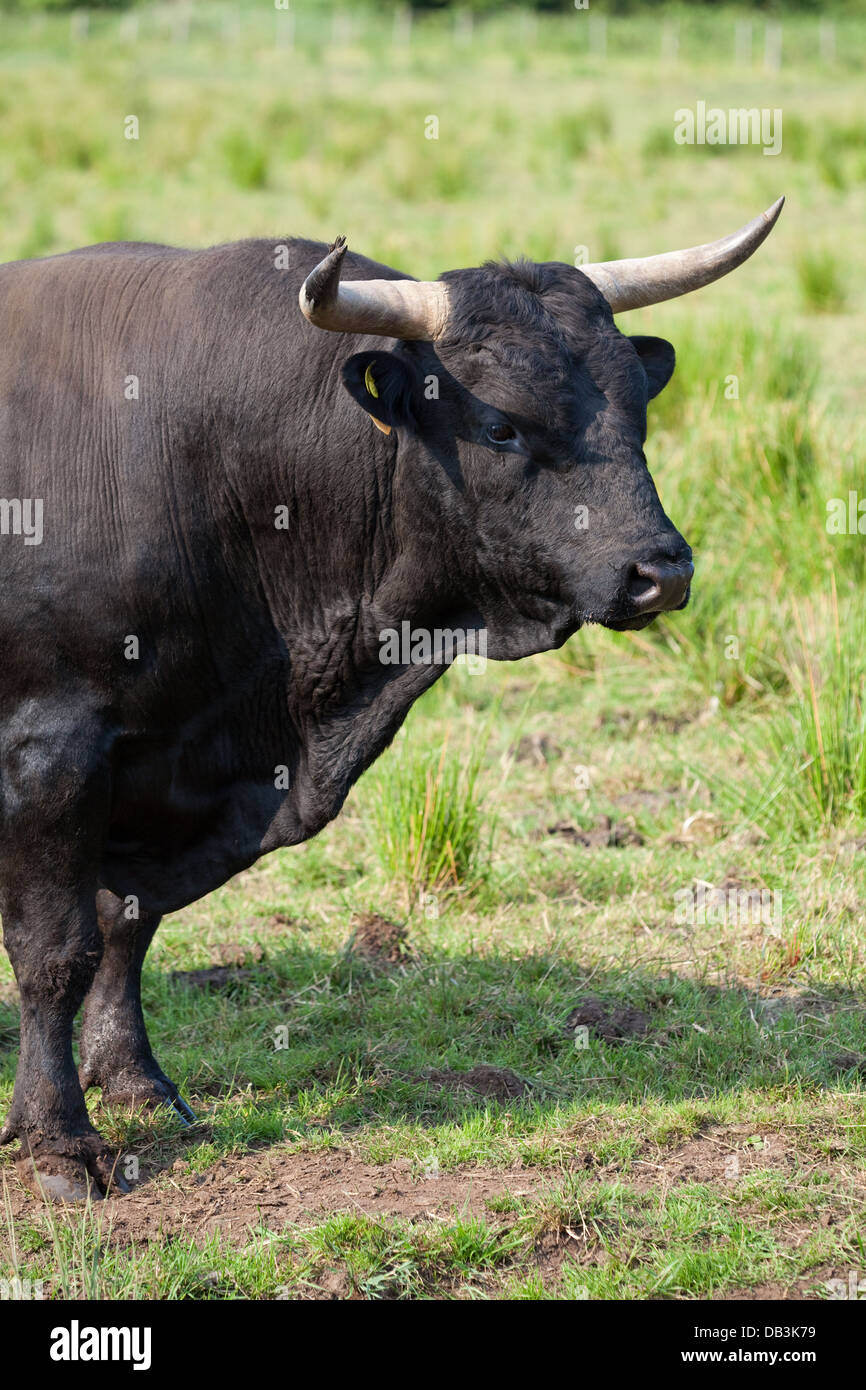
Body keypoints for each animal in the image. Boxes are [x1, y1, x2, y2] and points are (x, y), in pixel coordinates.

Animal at [0, 208, 783, 1206]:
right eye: (499, 425)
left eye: (640, 411)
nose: (662, 572)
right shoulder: (51, 749)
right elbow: (55, 952)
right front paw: (59, 1140)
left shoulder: (170, 770)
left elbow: (125, 921)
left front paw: (135, 1082)